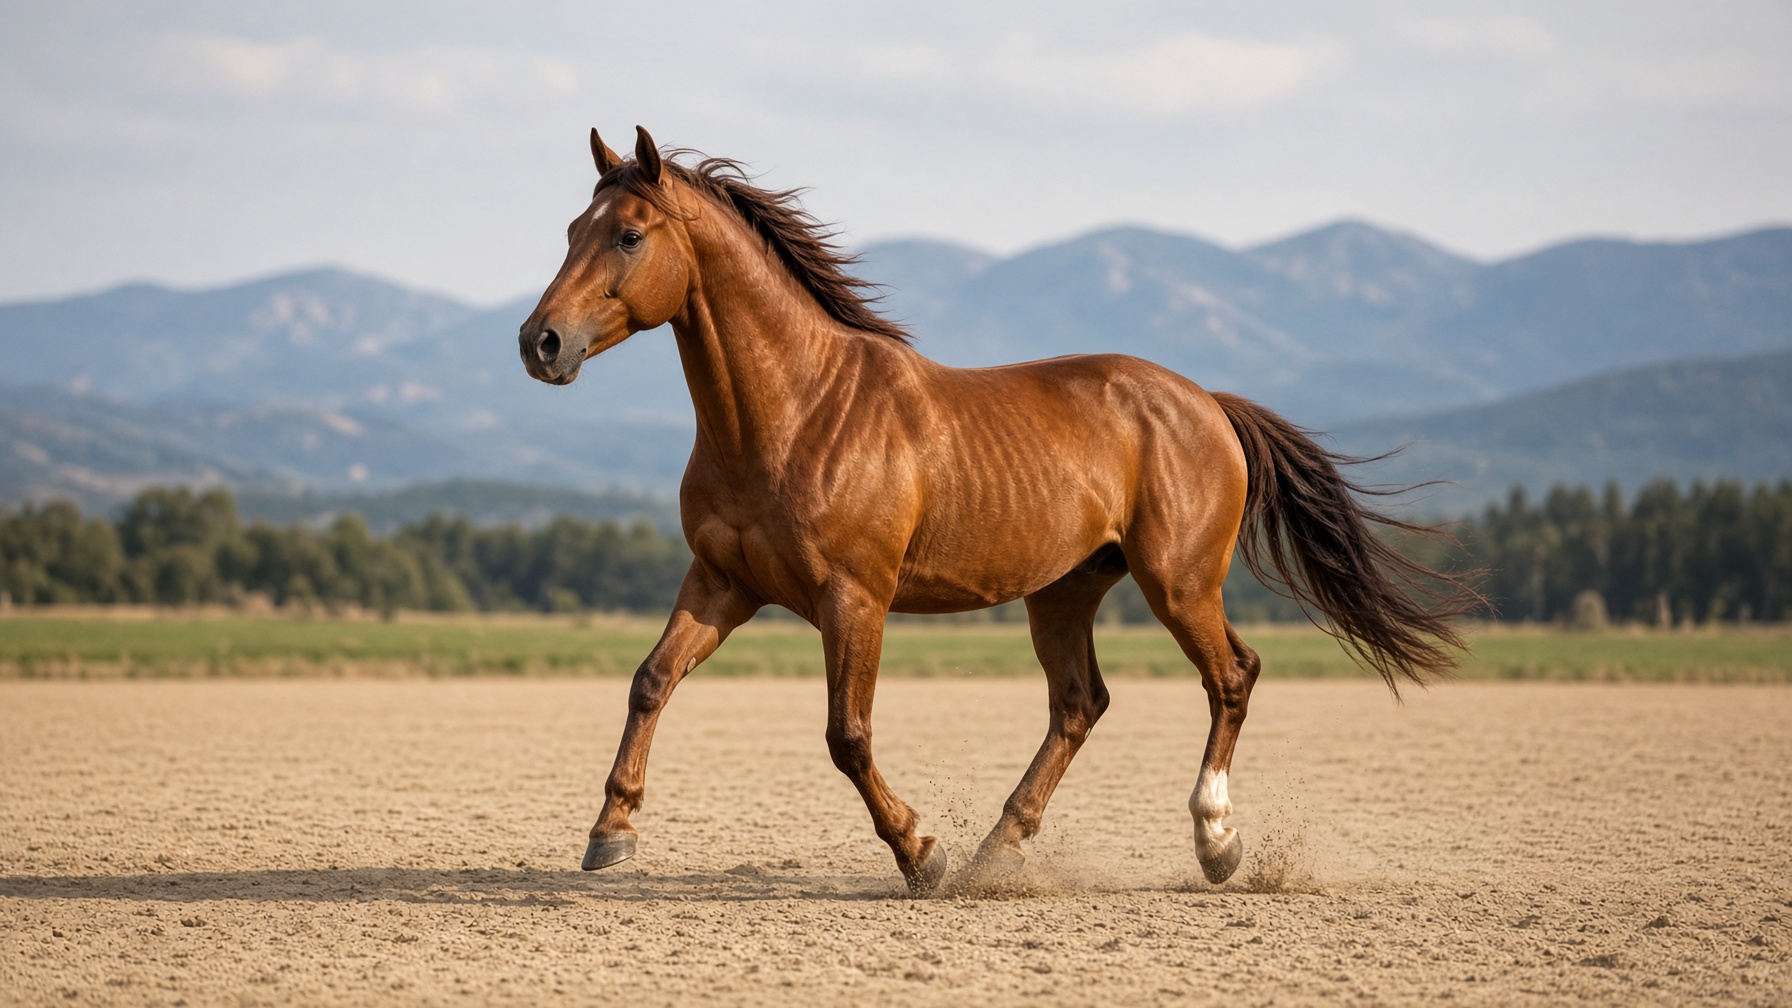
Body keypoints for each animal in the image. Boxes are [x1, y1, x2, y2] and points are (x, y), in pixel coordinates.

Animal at [518, 126, 1475, 894]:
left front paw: (920, 855)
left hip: (1178, 582)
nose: (541, 343)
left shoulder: (854, 597)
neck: (792, 412)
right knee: (1080, 704)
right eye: (571, 231)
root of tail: (1206, 402)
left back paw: (1214, 843)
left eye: (629, 235)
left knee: (1231, 676)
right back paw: (999, 850)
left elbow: (847, 735)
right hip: (1063, 592)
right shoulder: (724, 581)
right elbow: (650, 681)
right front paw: (611, 834)